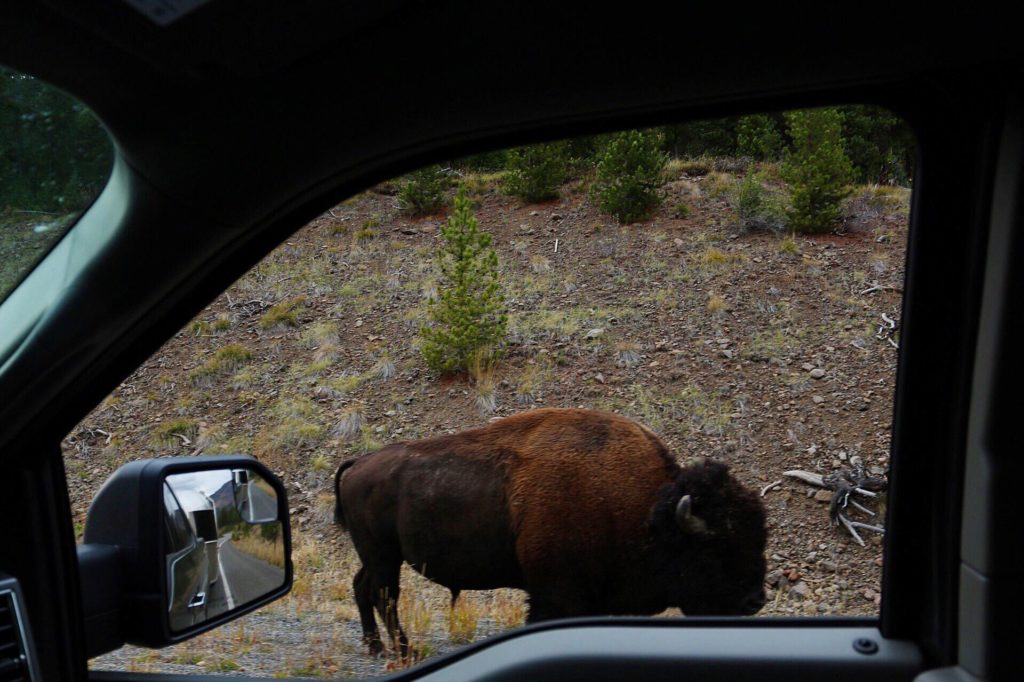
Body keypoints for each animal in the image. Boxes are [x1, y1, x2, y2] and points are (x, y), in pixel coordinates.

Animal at [334, 407, 767, 655]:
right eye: (714, 550)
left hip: (376, 556)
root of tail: (360, 462)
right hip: (384, 556)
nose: (755, 601)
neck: (647, 513)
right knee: (386, 596)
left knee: (363, 588)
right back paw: (403, 651)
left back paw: (374, 647)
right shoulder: (557, 592)